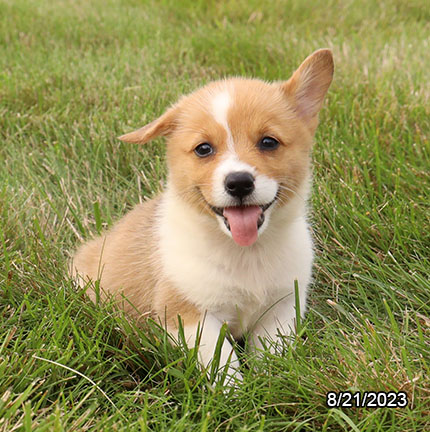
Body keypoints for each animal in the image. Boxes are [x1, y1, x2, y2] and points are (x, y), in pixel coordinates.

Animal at [71, 49, 332, 384]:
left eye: (268, 142)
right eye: (203, 149)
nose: (239, 182)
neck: (245, 253)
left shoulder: (281, 308)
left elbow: (270, 355)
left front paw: (272, 382)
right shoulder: (190, 317)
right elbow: (223, 365)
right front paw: (237, 393)